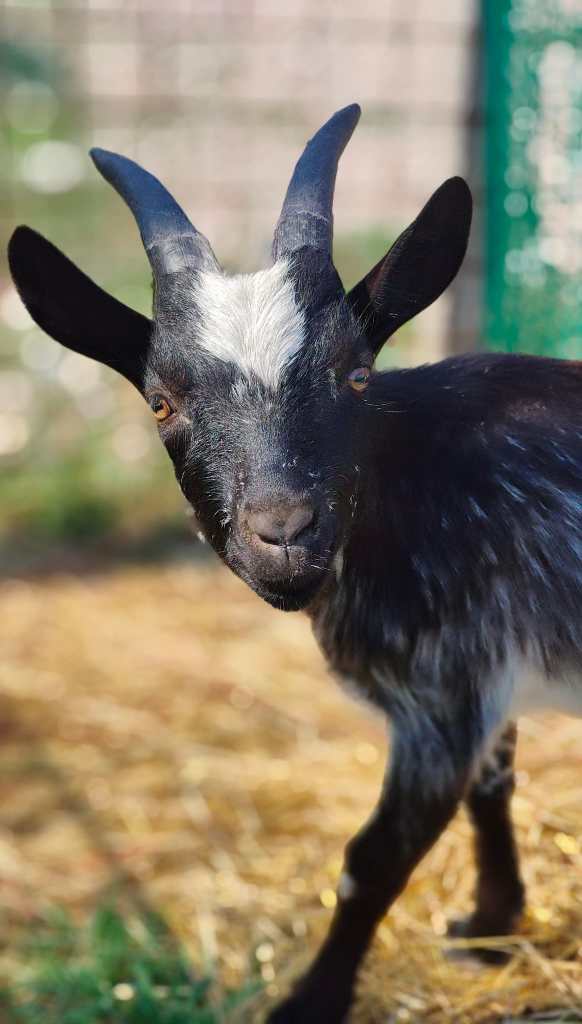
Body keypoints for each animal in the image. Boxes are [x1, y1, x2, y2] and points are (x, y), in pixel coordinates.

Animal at [8, 103, 582, 1023]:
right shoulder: (486, 669)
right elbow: (493, 787)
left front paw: (311, 1000)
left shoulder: (441, 691)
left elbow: (370, 861)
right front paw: (494, 925)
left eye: (357, 375)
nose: (284, 531)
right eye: (162, 402)